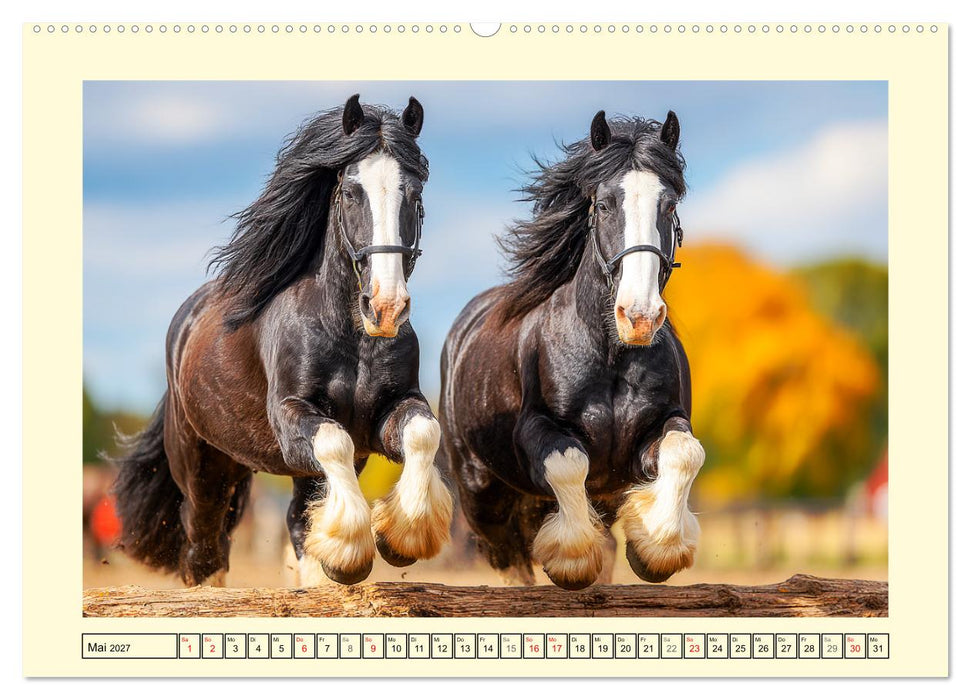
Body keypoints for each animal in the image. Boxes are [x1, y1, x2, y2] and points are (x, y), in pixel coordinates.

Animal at [111, 95, 453, 588]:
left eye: (416, 194)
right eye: (351, 192)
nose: (386, 307)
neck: (350, 336)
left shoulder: (390, 409)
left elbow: (424, 432)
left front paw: (400, 538)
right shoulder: (294, 414)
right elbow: (333, 442)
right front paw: (352, 552)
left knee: (296, 520)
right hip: (203, 468)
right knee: (204, 547)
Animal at [440, 109, 703, 590]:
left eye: (670, 205)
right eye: (604, 205)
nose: (639, 316)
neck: (611, 357)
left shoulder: (658, 429)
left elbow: (685, 452)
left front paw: (656, 551)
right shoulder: (535, 429)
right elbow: (568, 463)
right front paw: (570, 559)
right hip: (481, 492)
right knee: (508, 556)